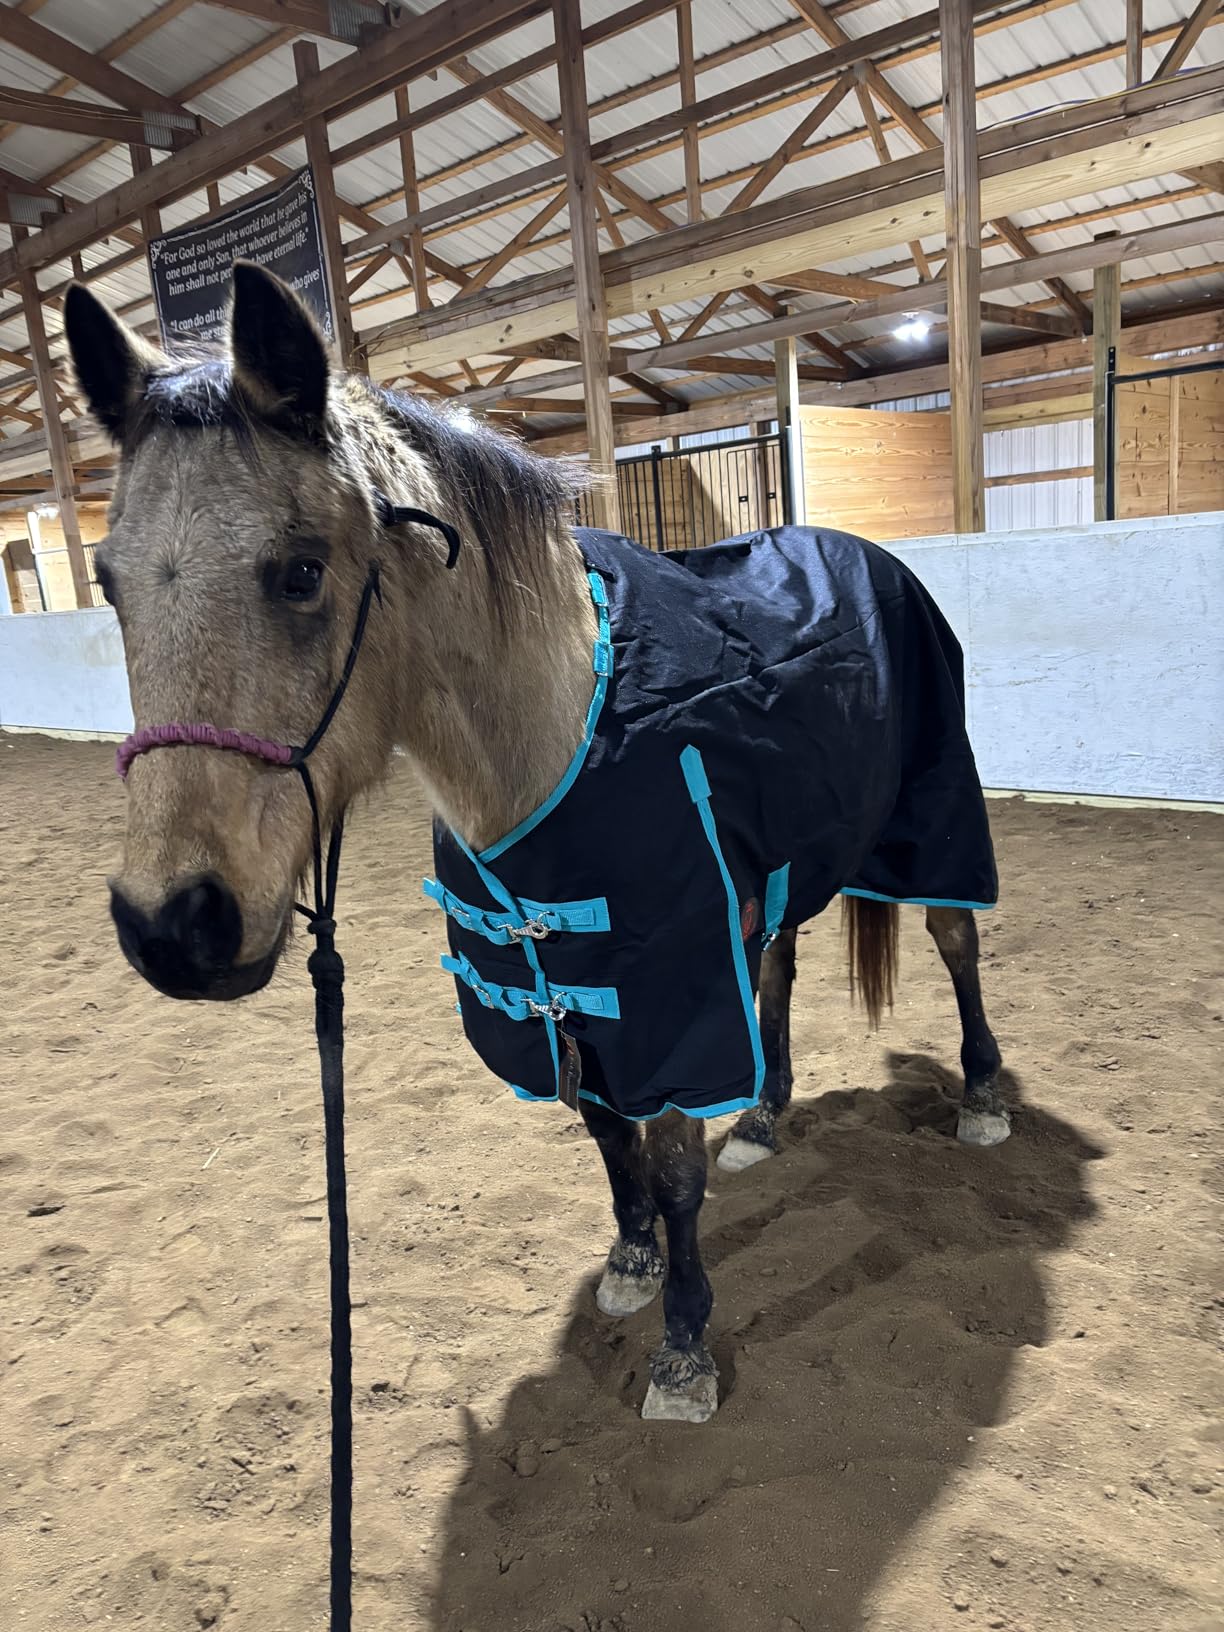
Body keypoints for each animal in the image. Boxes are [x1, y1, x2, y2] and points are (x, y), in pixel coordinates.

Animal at [64, 262, 1009, 1426]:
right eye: (108, 580)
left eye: (300, 571)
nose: (171, 925)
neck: (561, 737)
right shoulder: (560, 984)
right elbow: (605, 1133)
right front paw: (632, 1260)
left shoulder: (667, 989)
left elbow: (673, 1161)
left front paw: (684, 1343)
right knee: (780, 973)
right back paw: (762, 1121)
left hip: (934, 815)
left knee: (957, 944)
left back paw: (980, 1099)